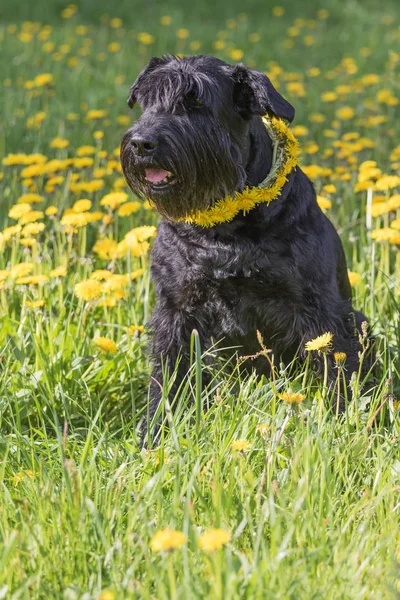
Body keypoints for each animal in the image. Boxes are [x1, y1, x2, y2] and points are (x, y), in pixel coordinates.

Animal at [120, 56, 370, 440]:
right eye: (147, 101)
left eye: (195, 102)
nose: (140, 143)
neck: (225, 230)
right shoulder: (176, 308)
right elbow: (168, 372)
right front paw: (157, 429)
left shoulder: (320, 309)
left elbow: (336, 367)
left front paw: (341, 423)